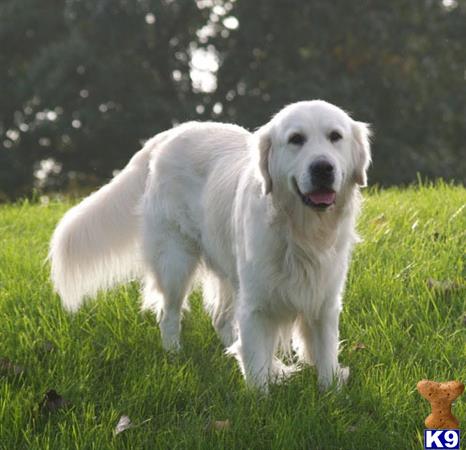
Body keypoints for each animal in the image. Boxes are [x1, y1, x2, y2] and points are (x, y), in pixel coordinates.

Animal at [50, 101, 372, 390]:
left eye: (335, 136)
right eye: (296, 139)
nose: (323, 168)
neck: (302, 232)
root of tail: (169, 134)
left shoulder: (324, 299)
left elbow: (325, 355)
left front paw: (330, 392)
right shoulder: (256, 303)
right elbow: (257, 367)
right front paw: (262, 403)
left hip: (226, 266)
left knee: (220, 319)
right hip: (175, 261)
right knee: (169, 313)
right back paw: (174, 354)